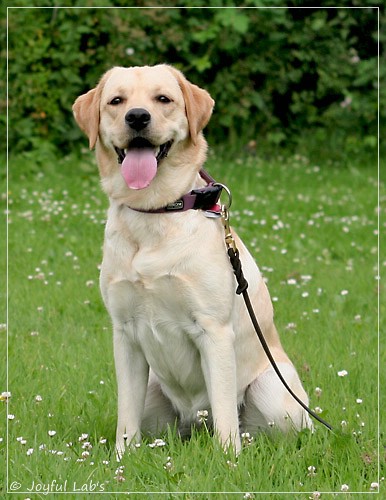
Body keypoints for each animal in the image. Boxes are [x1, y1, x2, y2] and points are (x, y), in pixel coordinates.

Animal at [73, 63, 314, 458]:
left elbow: (225, 416)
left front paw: (228, 460)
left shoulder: (213, 330)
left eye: (163, 99)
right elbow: (125, 418)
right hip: (154, 390)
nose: (137, 117)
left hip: (273, 392)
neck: (156, 212)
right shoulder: (124, 335)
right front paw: (121, 461)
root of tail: (195, 422)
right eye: (116, 101)